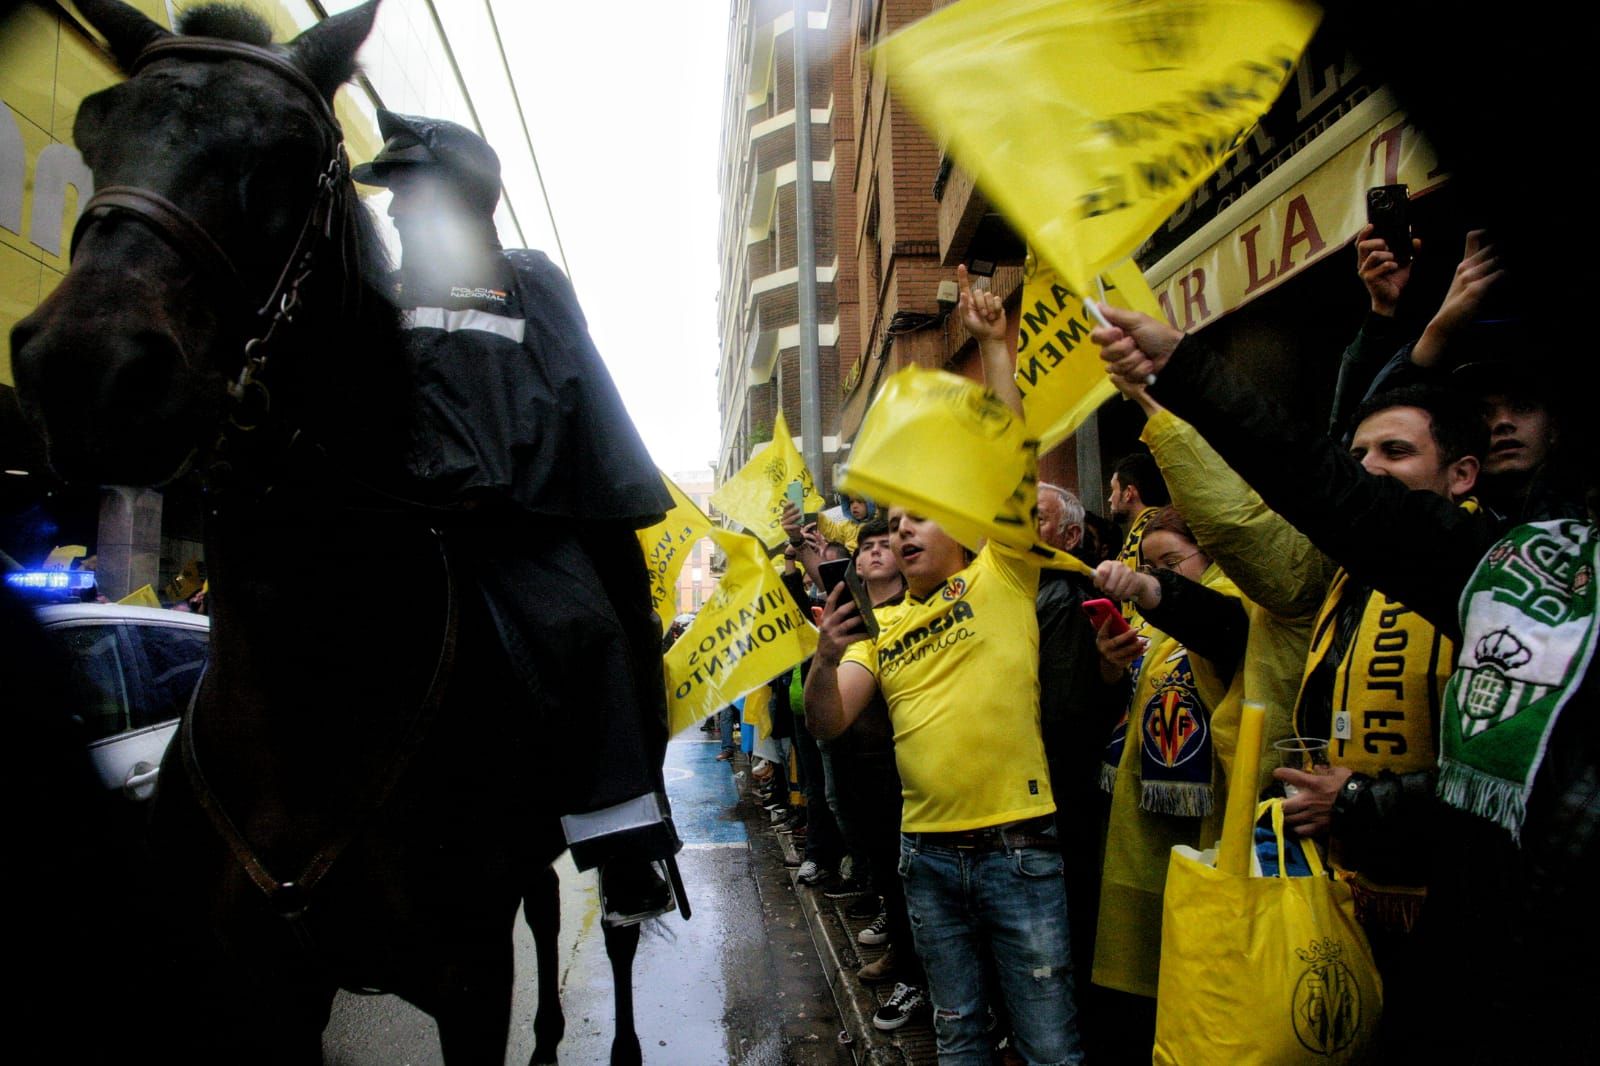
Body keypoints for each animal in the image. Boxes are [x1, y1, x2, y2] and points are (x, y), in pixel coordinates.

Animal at [9, 4, 643, 1056]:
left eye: (292, 151)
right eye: (97, 128)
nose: (85, 368)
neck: (309, 709)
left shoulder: (471, 983)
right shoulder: (265, 994)